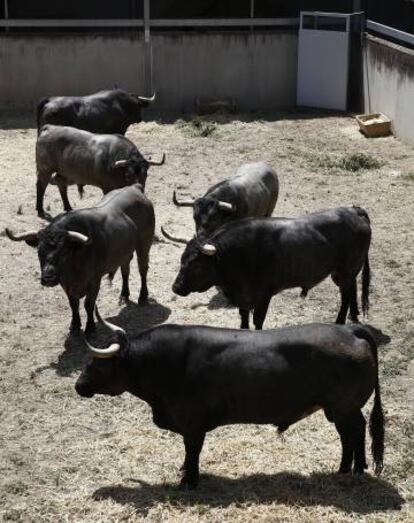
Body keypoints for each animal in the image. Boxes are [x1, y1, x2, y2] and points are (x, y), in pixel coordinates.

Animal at [5, 182, 154, 334]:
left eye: (64, 251)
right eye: (39, 251)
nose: (48, 277)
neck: (75, 264)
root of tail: (134, 188)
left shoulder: (94, 281)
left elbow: (88, 304)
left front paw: (90, 327)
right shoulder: (66, 284)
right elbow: (73, 304)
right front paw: (75, 325)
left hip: (144, 245)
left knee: (143, 269)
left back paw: (143, 296)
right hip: (125, 253)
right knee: (125, 270)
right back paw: (124, 295)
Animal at [75, 316, 384, 492]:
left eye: (99, 364)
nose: (78, 386)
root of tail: (350, 330)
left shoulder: (193, 424)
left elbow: (192, 451)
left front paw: (189, 481)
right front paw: (185, 473)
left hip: (344, 407)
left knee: (356, 431)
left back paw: (357, 469)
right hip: (337, 410)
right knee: (348, 435)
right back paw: (343, 469)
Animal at [171, 207, 372, 330]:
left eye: (196, 264)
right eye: (181, 260)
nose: (176, 287)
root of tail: (353, 211)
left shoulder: (263, 297)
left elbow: (258, 321)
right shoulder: (243, 299)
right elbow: (244, 319)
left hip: (346, 271)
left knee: (346, 296)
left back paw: (340, 322)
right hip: (342, 273)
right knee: (352, 289)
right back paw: (354, 316)